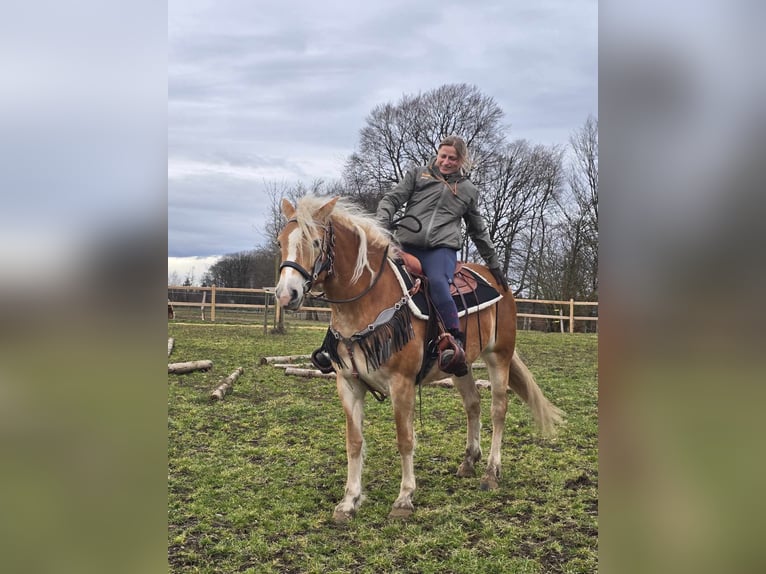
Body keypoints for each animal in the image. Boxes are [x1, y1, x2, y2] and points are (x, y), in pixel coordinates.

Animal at [276, 196, 564, 524]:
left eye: (314, 241)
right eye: (280, 242)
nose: (286, 295)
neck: (368, 302)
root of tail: (498, 280)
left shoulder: (401, 384)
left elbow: (405, 439)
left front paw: (404, 498)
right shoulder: (348, 384)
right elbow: (354, 442)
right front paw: (349, 501)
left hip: (498, 356)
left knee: (498, 410)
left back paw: (491, 472)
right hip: (460, 365)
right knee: (473, 405)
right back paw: (469, 461)